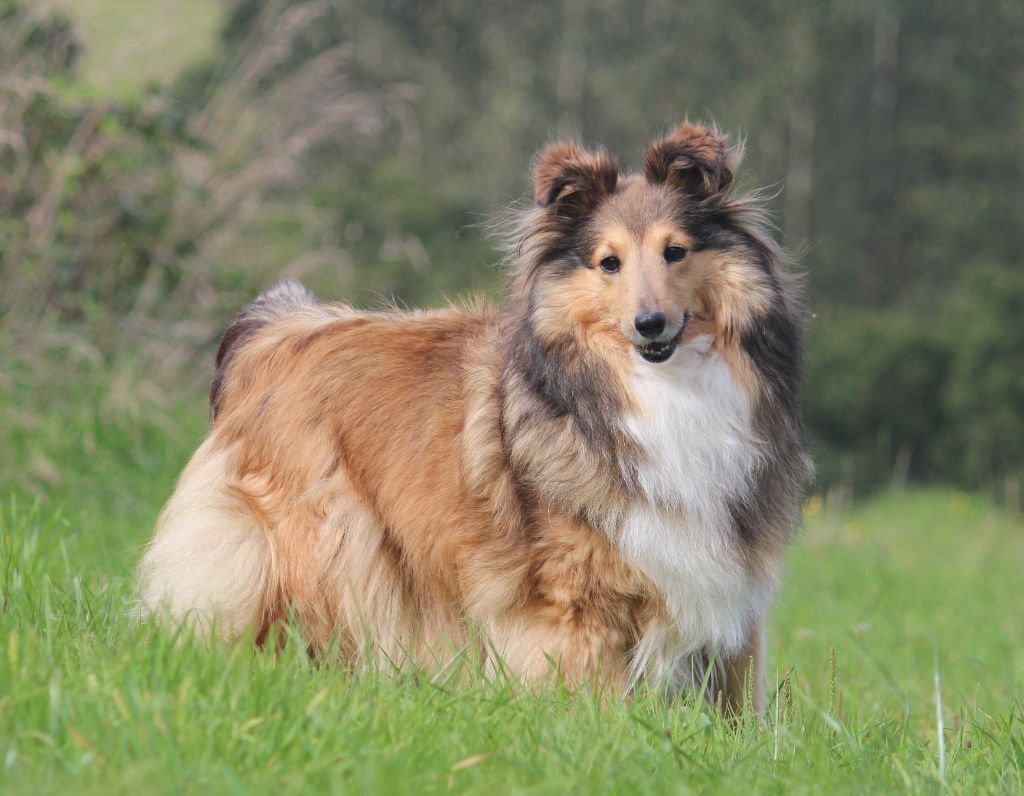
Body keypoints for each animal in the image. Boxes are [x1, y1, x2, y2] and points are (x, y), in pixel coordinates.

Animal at [136, 122, 811, 708]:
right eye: (608, 262)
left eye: (676, 252)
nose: (650, 325)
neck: (661, 390)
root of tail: (279, 329)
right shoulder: (572, 601)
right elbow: (593, 695)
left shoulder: (727, 585)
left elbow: (739, 699)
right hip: (332, 542)